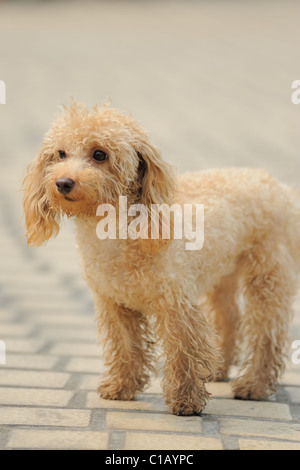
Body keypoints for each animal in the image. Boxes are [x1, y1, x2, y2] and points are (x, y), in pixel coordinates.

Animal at [22, 101, 300, 414]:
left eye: (99, 154)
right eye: (60, 153)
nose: (63, 182)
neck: (117, 236)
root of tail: (281, 187)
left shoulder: (176, 304)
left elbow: (183, 352)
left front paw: (186, 400)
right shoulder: (115, 303)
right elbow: (126, 347)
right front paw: (121, 386)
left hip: (269, 275)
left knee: (268, 333)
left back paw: (254, 385)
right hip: (222, 273)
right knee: (229, 318)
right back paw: (217, 368)